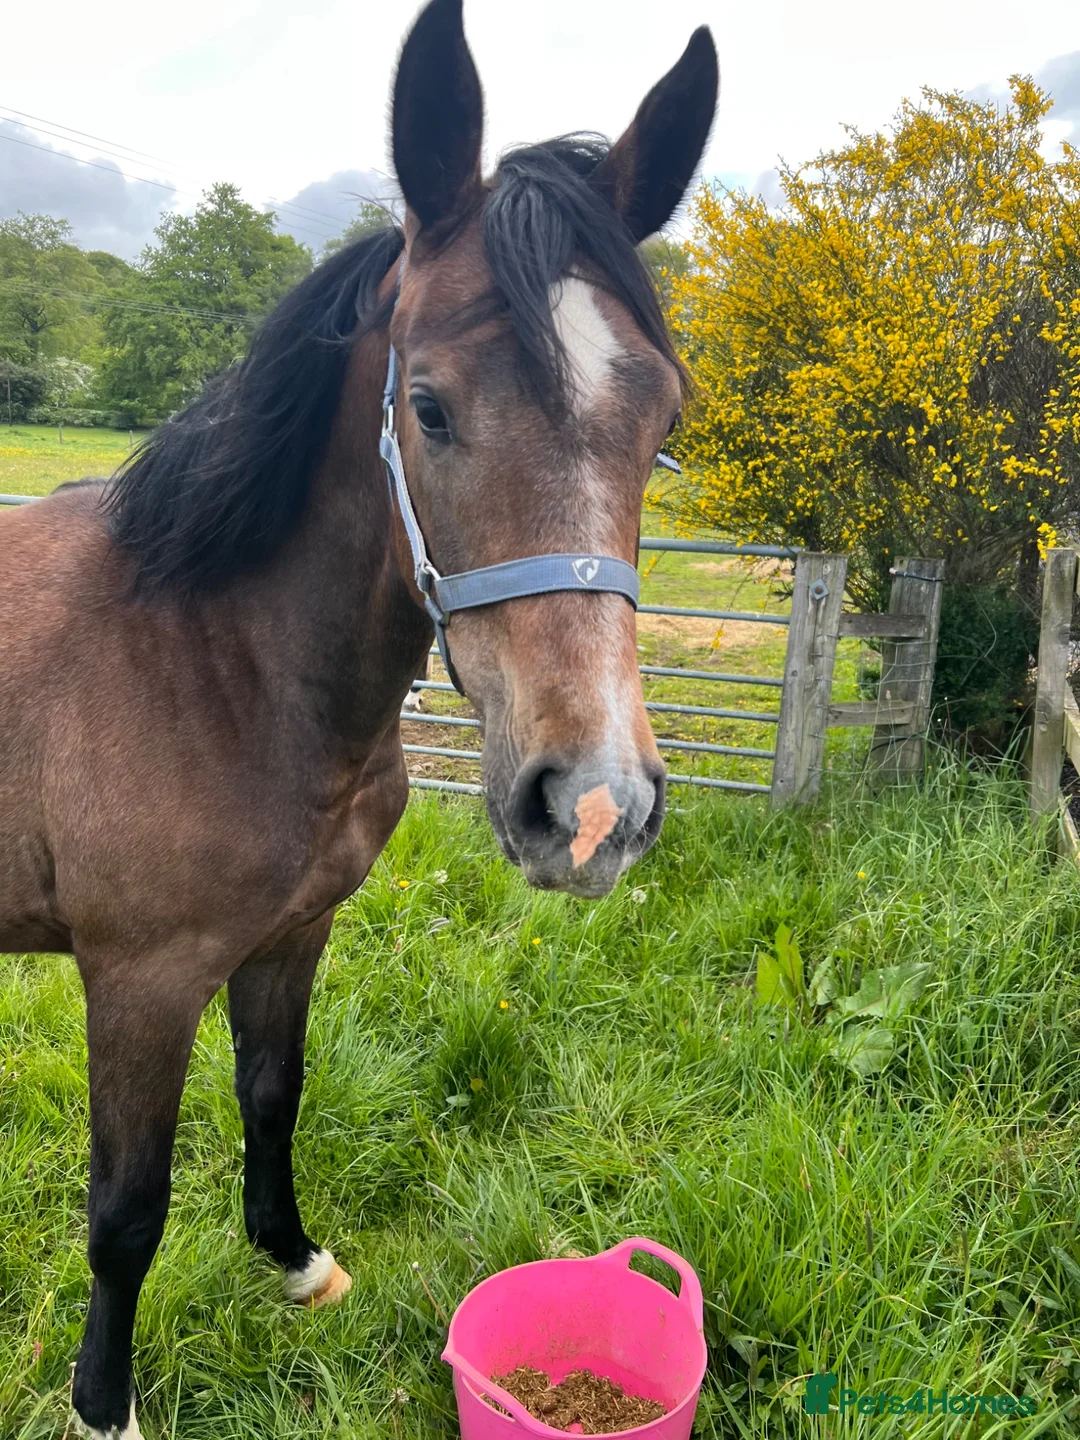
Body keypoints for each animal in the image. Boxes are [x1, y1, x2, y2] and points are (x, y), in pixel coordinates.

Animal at [0, 2, 717, 1434]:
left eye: (663, 420)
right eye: (427, 405)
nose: (594, 809)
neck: (213, 661)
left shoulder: (291, 934)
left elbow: (273, 1097)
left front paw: (295, 1263)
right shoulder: (139, 979)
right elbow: (125, 1208)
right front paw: (105, 1403)